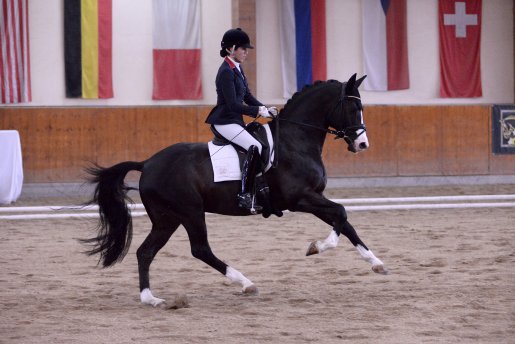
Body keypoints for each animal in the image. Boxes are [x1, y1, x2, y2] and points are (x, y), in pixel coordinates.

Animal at [83, 73, 388, 306]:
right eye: (353, 109)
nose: (362, 144)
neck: (296, 141)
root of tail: (147, 163)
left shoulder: (314, 197)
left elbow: (344, 220)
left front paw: (376, 263)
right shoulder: (300, 198)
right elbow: (341, 213)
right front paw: (317, 247)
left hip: (167, 218)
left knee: (146, 252)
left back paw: (151, 299)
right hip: (189, 212)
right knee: (200, 249)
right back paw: (246, 283)